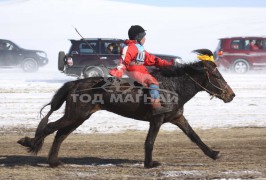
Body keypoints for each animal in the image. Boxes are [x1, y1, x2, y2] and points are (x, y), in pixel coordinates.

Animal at [18, 48, 235, 167]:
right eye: (216, 75)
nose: (231, 95)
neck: (173, 87)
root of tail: (75, 84)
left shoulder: (177, 118)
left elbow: (194, 136)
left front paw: (213, 153)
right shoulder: (157, 120)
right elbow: (149, 142)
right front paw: (150, 164)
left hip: (80, 117)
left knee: (60, 134)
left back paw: (54, 161)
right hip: (75, 115)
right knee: (50, 127)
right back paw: (29, 143)